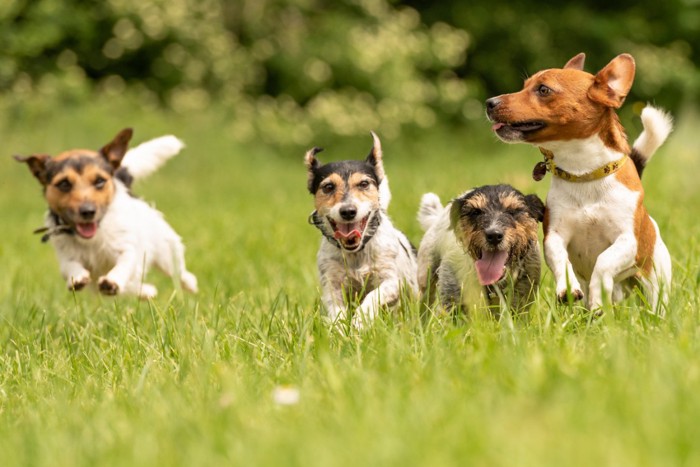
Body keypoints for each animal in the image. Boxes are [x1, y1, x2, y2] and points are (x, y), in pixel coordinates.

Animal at [14, 127, 200, 300]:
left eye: (99, 181)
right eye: (64, 183)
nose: (87, 211)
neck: (93, 237)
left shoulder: (127, 248)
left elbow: (124, 265)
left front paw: (112, 281)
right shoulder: (66, 254)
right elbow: (70, 266)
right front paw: (77, 278)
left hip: (166, 252)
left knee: (179, 272)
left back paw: (188, 284)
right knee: (132, 287)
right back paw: (147, 292)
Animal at [304, 132, 416, 330]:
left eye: (364, 183)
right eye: (328, 187)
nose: (348, 211)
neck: (356, 253)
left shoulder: (392, 281)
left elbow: (373, 296)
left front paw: (360, 321)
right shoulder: (332, 286)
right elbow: (336, 311)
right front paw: (340, 329)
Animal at [486, 53, 672, 312]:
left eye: (543, 89)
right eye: (524, 86)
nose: (489, 102)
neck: (584, 175)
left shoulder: (627, 242)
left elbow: (603, 261)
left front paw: (597, 293)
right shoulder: (554, 236)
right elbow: (561, 260)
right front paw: (567, 288)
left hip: (655, 283)